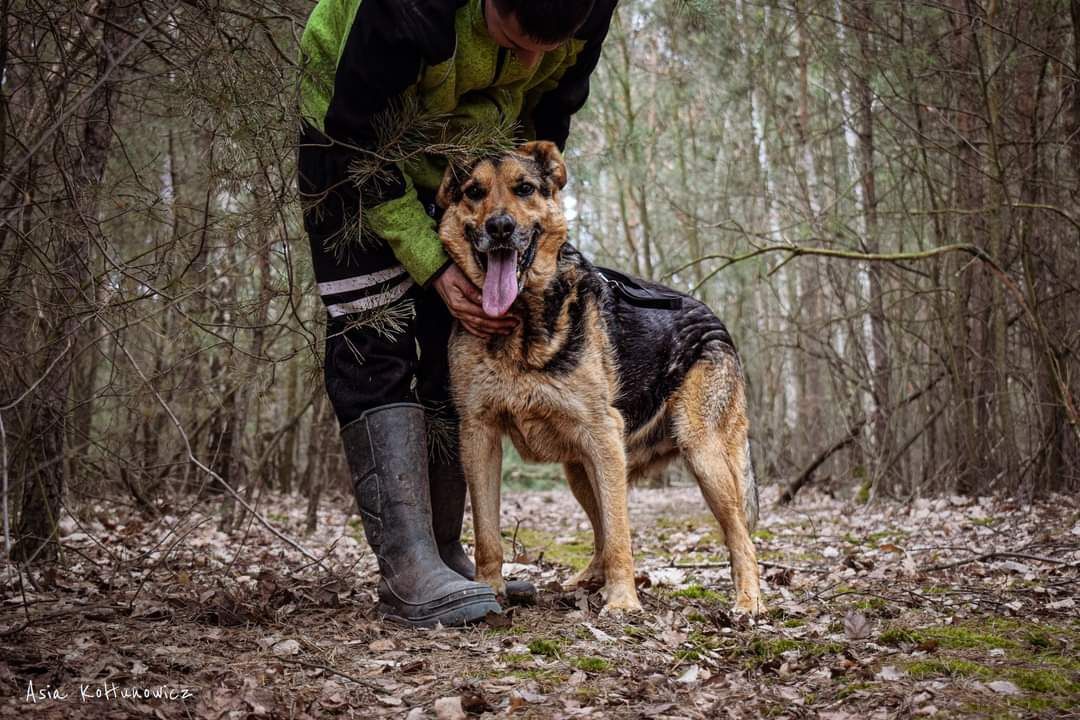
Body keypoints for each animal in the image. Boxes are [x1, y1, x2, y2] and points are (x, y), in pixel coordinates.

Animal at [434, 143, 764, 617]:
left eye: (524, 188)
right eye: (474, 192)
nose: (499, 227)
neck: (522, 321)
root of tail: (716, 321)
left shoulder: (603, 434)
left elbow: (621, 535)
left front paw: (624, 601)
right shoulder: (479, 435)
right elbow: (487, 532)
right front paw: (489, 588)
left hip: (702, 455)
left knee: (739, 534)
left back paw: (748, 599)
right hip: (581, 468)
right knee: (602, 531)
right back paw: (589, 579)